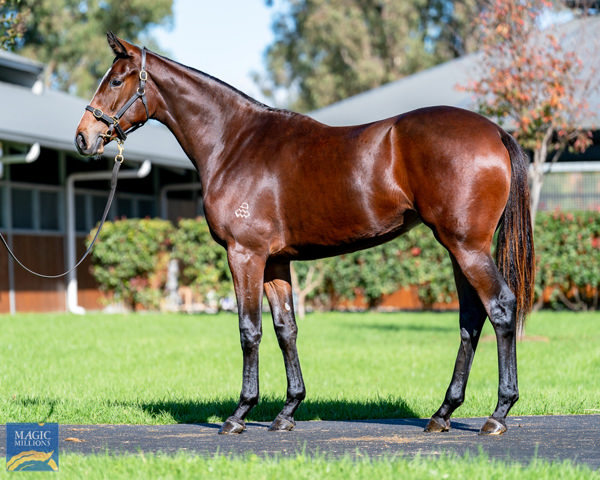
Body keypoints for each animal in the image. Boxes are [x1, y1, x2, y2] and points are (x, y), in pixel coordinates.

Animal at [75, 32, 536, 436]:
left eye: (115, 80)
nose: (83, 137)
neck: (233, 142)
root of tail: (494, 131)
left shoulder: (245, 255)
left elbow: (249, 330)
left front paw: (239, 414)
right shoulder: (276, 261)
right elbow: (286, 330)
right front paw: (287, 411)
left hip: (466, 247)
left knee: (500, 307)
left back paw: (498, 413)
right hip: (459, 248)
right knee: (471, 319)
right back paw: (442, 413)